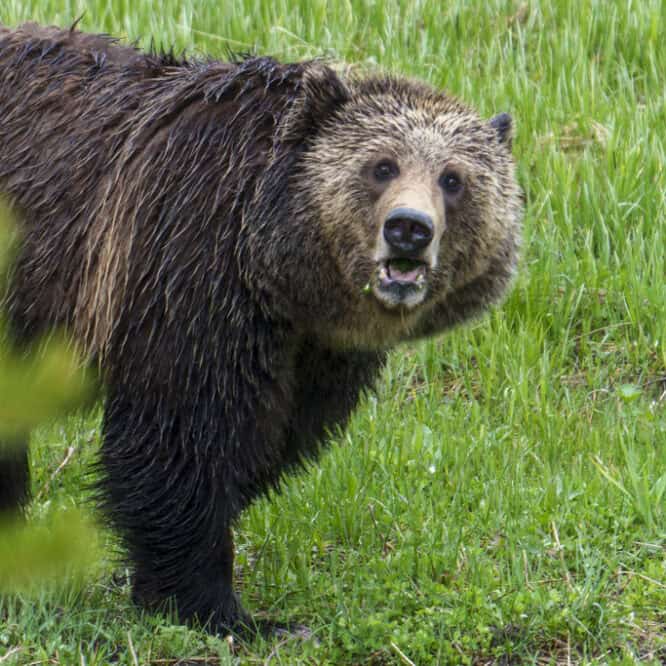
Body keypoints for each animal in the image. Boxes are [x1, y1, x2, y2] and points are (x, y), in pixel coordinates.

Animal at [0, 23, 523, 633]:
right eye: (382, 166)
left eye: (453, 178)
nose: (409, 230)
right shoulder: (188, 263)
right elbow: (180, 441)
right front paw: (220, 607)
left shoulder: (314, 350)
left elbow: (270, 439)